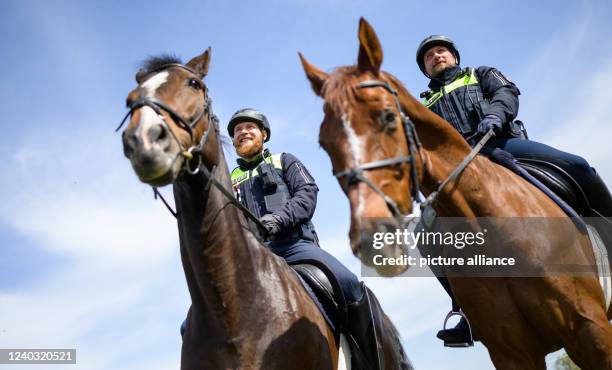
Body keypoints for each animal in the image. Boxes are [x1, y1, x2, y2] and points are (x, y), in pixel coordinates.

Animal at [298, 18, 612, 370]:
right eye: (325, 143)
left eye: (389, 116)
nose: (372, 237)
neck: (495, 229)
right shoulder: (512, 353)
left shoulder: (591, 332)